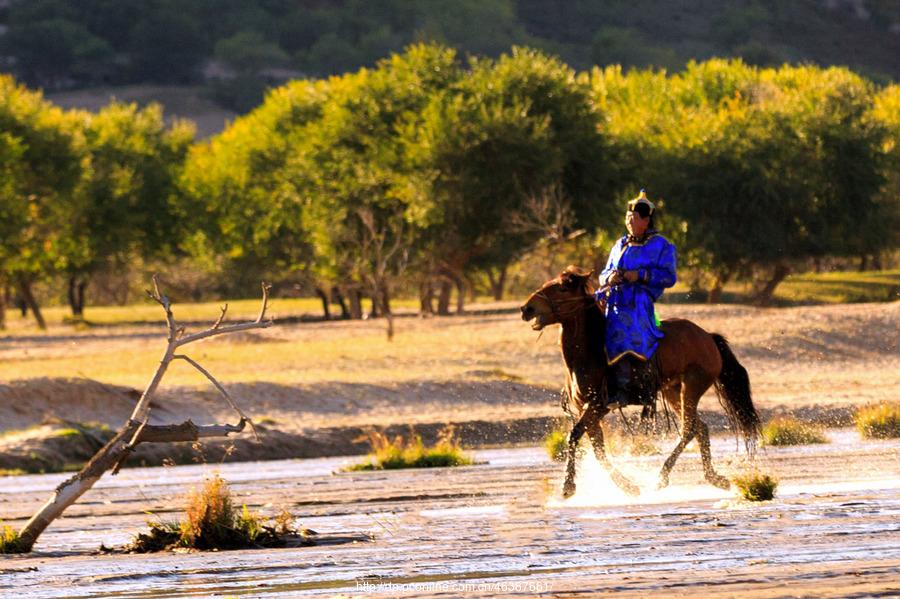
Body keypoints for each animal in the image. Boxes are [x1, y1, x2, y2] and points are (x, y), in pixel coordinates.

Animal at [520, 266, 760, 496]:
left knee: (689, 428)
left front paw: (568, 486)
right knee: (700, 427)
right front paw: (627, 486)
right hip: (673, 390)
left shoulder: (598, 405)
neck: (589, 352)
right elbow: (597, 447)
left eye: (562, 288)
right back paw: (715, 478)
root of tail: (708, 337)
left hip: (692, 385)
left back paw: (662, 477)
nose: (526, 308)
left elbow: (576, 436)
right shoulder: (584, 407)